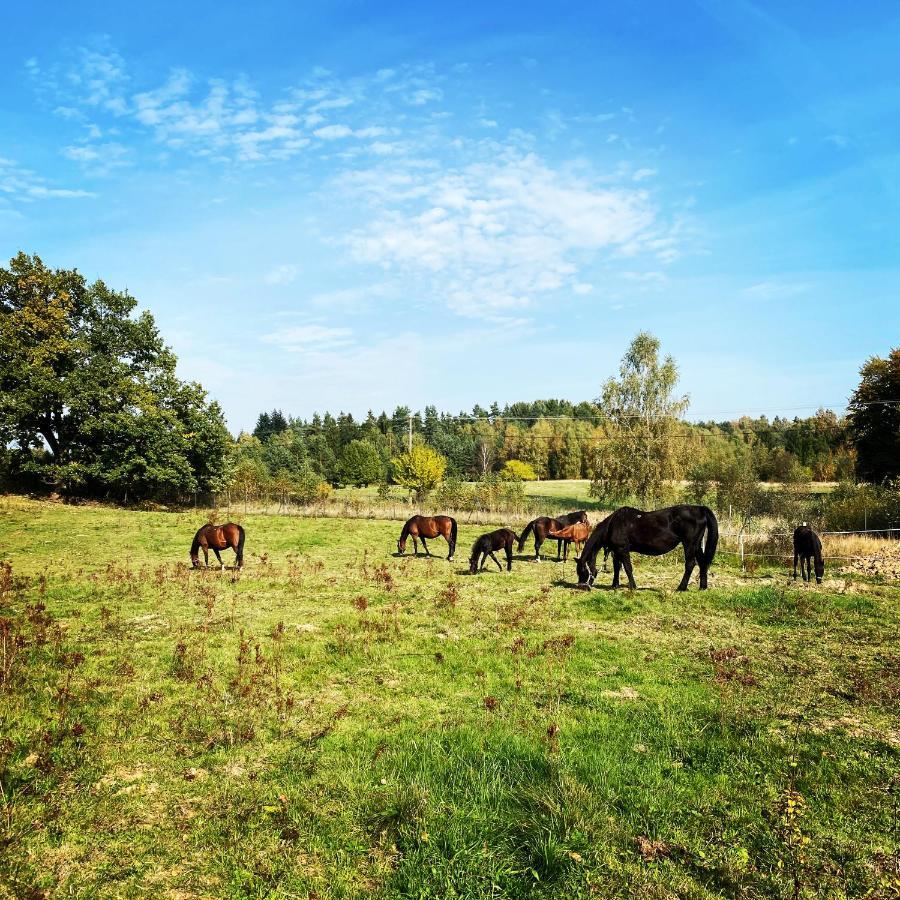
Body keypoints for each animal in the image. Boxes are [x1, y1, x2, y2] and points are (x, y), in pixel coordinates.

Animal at [576, 506, 716, 592]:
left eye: (582, 571)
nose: (582, 587)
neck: (612, 525)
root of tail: (700, 509)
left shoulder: (623, 549)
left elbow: (627, 568)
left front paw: (633, 586)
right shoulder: (616, 551)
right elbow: (617, 567)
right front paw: (615, 585)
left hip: (690, 544)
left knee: (690, 564)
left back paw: (681, 587)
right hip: (697, 545)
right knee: (703, 563)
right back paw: (702, 587)